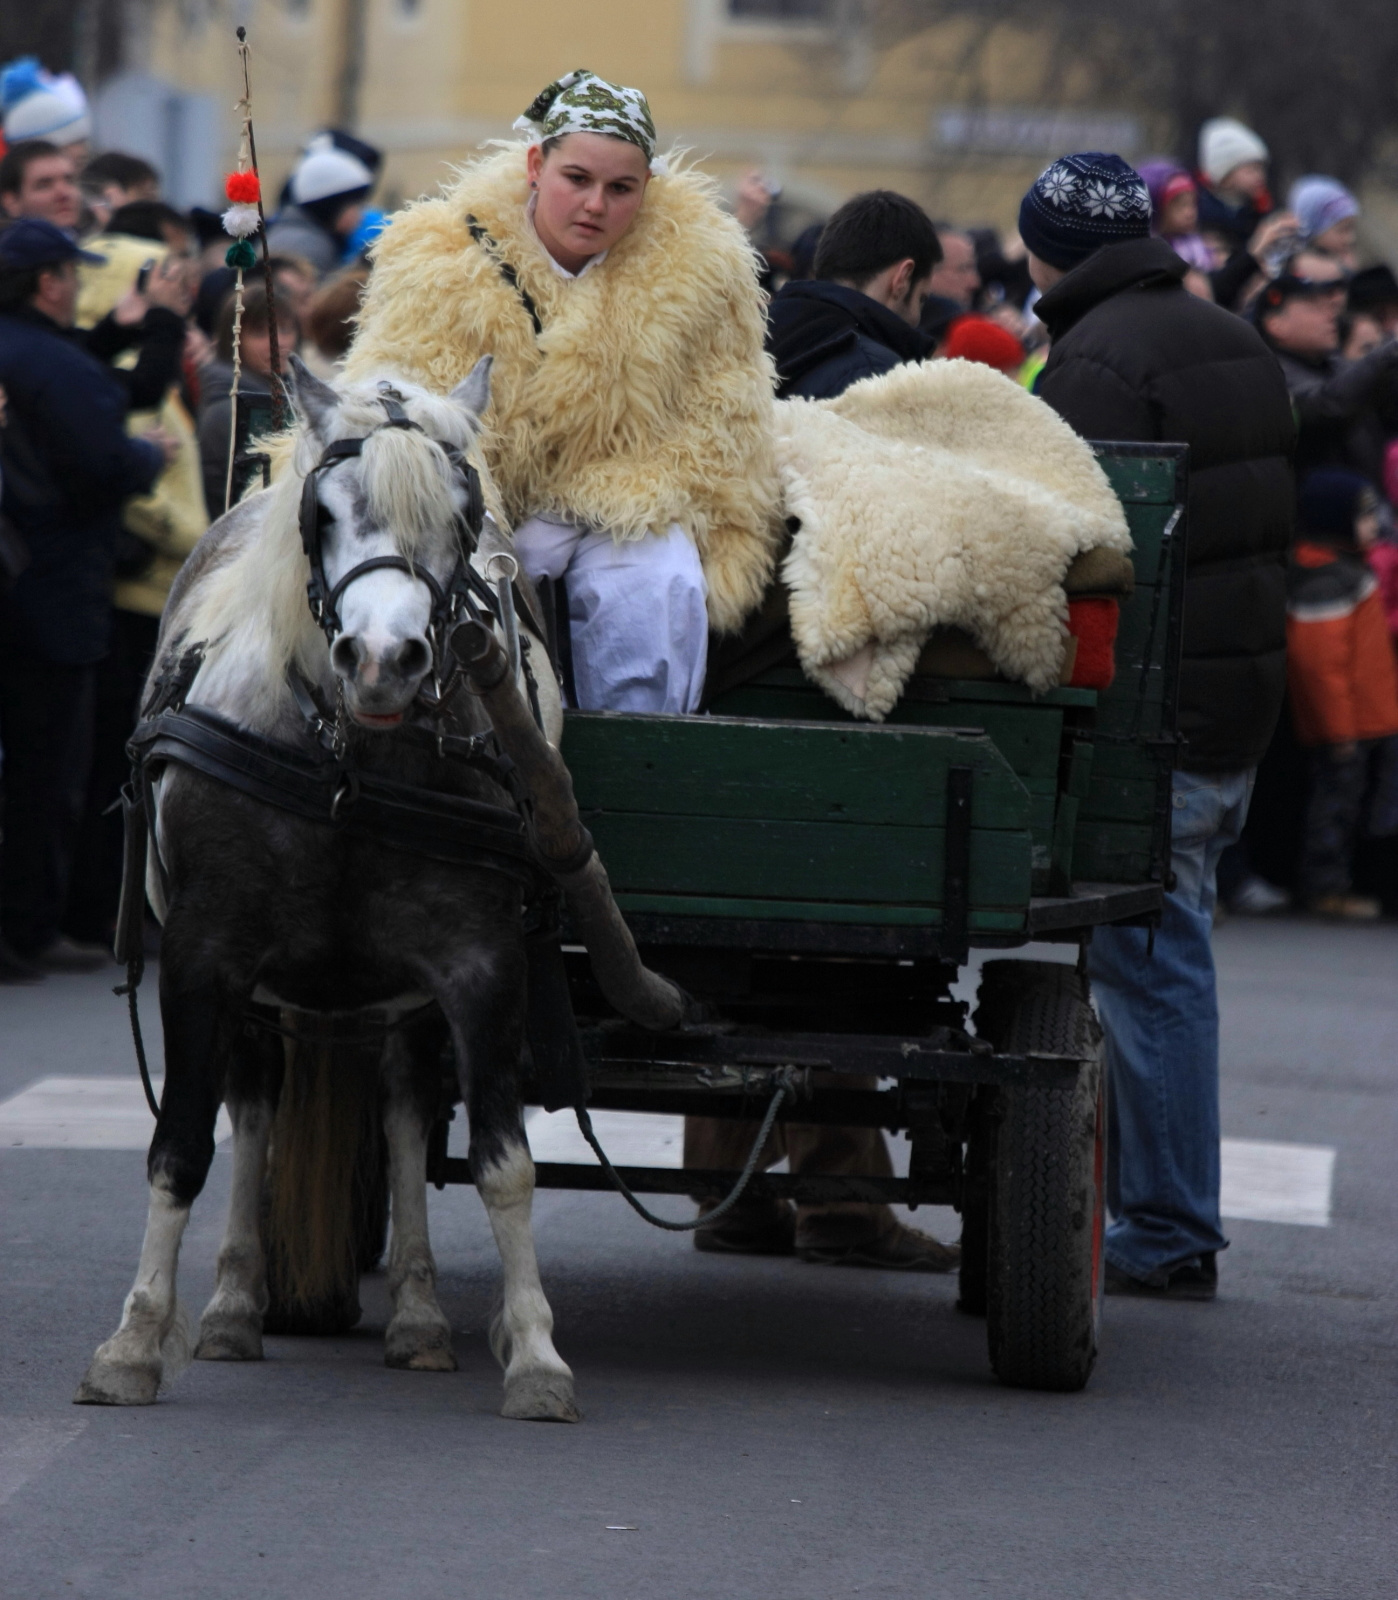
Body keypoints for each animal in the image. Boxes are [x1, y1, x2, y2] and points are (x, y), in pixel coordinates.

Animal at [74, 363, 579, 1427]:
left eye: (464, 515)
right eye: (327, 511)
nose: (385, 661)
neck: (351, 762)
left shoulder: (481, 966)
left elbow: (503, 1161)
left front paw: (536, 1352)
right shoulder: (205, 955)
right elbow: (183, 1142)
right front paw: (136, 1342)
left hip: (405, 999)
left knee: (404, 1112)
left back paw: (420, 1318)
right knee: (258, 1106)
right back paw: (233, 1302)